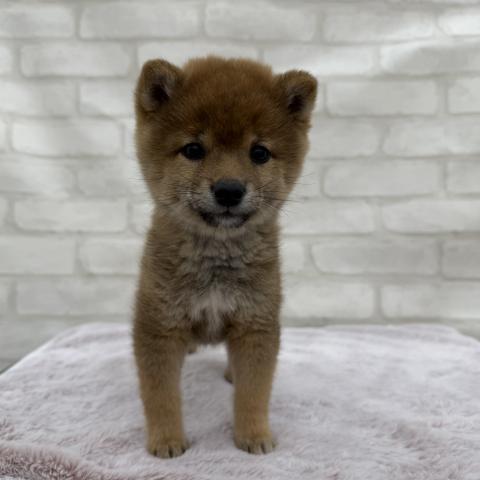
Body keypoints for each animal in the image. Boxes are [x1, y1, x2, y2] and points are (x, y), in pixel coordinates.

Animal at [133, 56, 317, 458]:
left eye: (259, 153)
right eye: (193, 149)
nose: (229, 190)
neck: (216, 259)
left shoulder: (255, 324)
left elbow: (254, 391)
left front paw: (254, 435)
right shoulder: (159, 326)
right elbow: (161, 396)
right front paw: (166, 440)